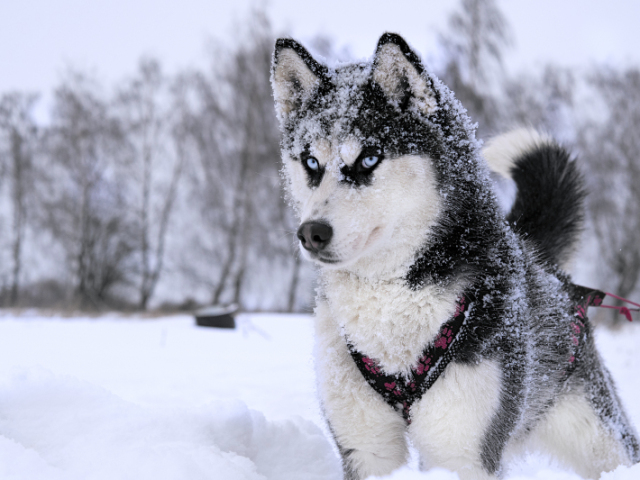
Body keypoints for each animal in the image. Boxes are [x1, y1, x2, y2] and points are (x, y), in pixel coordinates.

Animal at [270, 31, 640, 478]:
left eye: (369, 157)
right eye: (311, 162)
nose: (312, 233)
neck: (390, 300)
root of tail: (542, 261)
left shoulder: (462, 451)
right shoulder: (367, 449)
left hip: (598, 436)